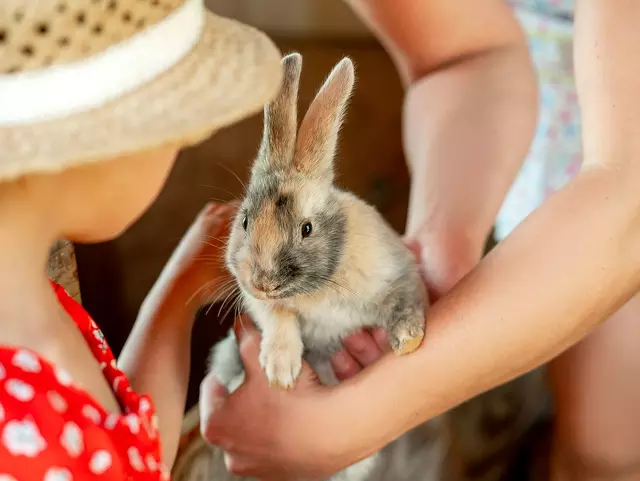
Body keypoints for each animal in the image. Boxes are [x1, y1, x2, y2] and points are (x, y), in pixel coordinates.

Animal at [208, 50, 430, 478]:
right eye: (244, 221)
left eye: (306, 228)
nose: (261, 281)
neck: (318, 288)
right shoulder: (262, 306)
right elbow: (278, 317)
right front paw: (280, 369)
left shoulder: (399, 273)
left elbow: (404, 300)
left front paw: (409, 340)